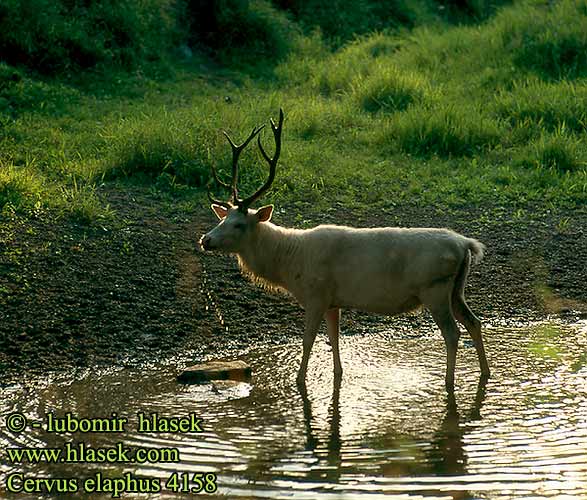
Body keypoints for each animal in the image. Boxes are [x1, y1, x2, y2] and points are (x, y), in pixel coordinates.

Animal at [200, 110, 490, 394]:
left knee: (452, 332)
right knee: (474, 322)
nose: (205, 239)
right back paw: (485, 374)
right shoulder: (333, 301)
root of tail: (466, 245)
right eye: (222, 219)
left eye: (238, 224)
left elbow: (308, 339)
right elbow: (333, 338)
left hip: (435, 288)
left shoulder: (316, 294)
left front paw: (299, 380)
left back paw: (449, 383)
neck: (290, 264)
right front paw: (338, 375)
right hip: (456, 289)